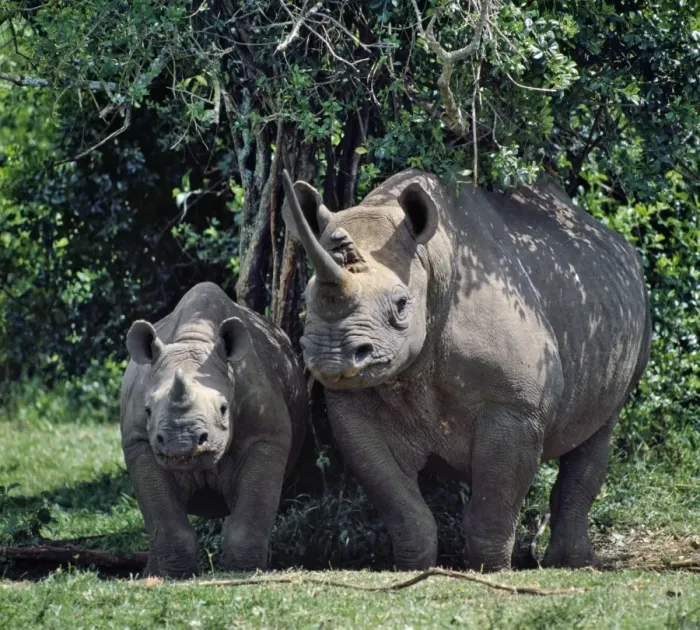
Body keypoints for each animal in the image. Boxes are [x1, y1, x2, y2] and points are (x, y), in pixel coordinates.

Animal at [120, 282, 307, 577]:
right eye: (148, 410)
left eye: (223, 409)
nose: (181, 443)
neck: (193, 339)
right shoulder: (138, 441)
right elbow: (164, 518)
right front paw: (174, 575)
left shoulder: (265, 437)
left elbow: (250, 516)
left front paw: (245, 572)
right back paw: (151, 575)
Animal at [281, 168, 651, 571]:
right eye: (307, 298)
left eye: (401, 304)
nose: (332, 356)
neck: (430, 262)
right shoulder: (354, 407)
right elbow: (398, 501)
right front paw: (415, 568)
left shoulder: (516, 407)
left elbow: (494, 499)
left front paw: (491, 570)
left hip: (636, 308)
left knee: (601, 428)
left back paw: (574, 563)